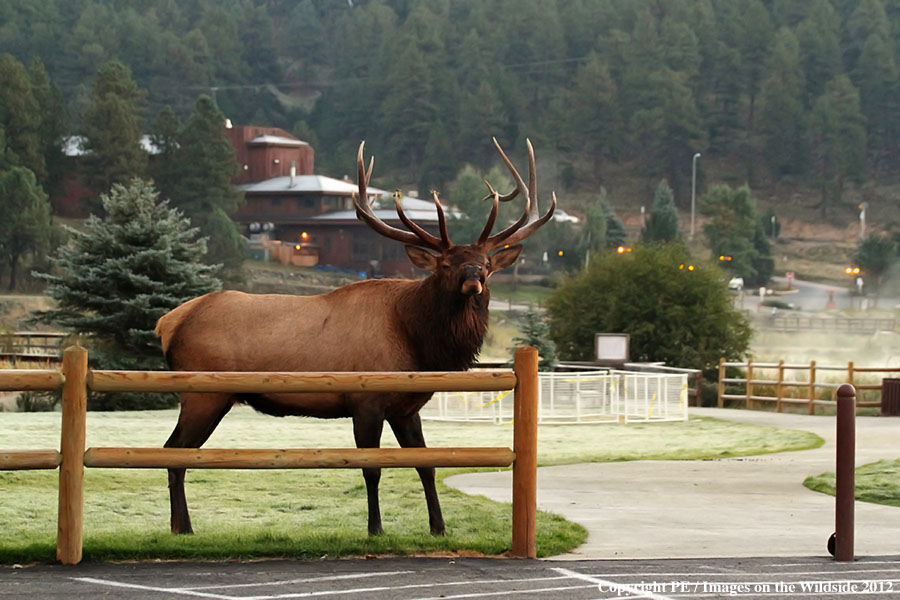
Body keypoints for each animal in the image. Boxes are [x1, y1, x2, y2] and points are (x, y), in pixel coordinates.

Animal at [156, 138, 556, 536]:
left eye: (487, 263)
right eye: (446, 264)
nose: (474, 277)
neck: (417, 341)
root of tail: (169, 322)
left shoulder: (406, 409)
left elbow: (426, 464)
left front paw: (439, 527)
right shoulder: (366, 401)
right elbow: (371, 468)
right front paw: (375, 529)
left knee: (178, 452)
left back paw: (181, 527)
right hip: (204, 394)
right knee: (173, 451)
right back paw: (183, 528)